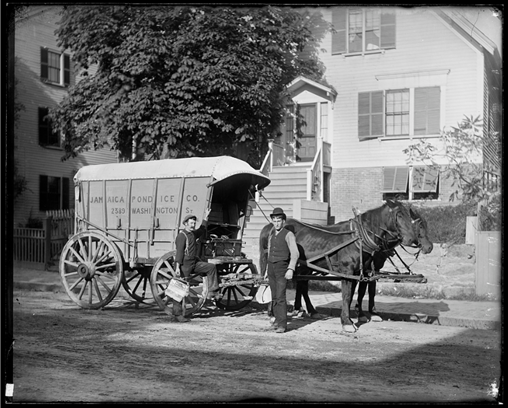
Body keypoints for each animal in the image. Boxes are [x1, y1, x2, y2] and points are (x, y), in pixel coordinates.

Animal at [260, 199, 418, 334]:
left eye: (410, 215)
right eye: (399, 215)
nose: (413, 239)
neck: (359, 237)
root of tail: (269, 226)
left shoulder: (358, 272)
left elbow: (355, 295)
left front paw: (354, 317)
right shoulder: (348, 271)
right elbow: (347, 296)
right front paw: (347, 322)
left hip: (304, 266)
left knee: (301, 285)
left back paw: (309, 311)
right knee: (271, 284)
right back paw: (273, 314)